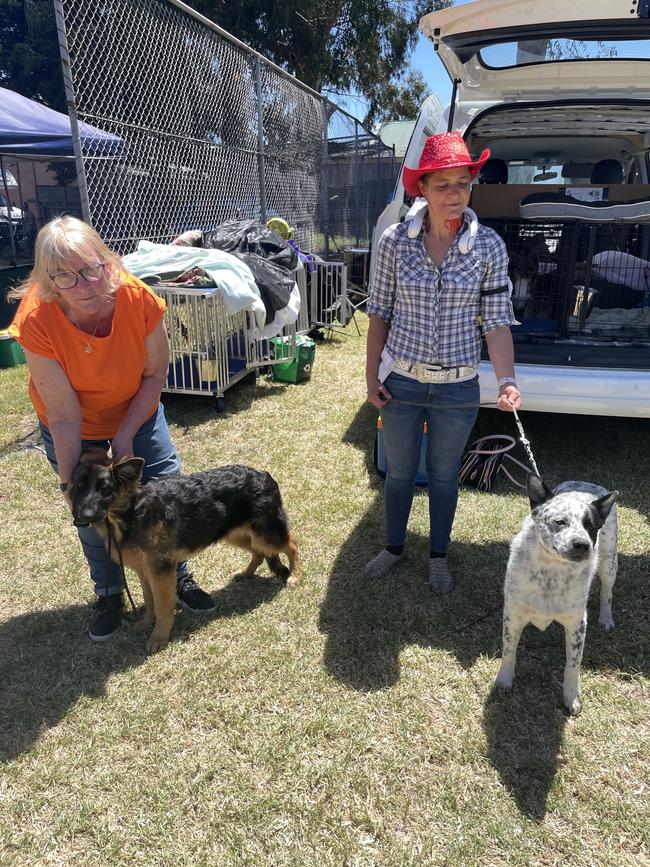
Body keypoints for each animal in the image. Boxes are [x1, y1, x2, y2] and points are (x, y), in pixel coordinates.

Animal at [69, 448, 302, 652]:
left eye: (105, 489)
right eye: (79, 487)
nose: (82, 517)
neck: (132, 512)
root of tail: (263, 474)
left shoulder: (161, 572)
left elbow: (162, 607)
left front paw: (159, 638)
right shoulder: (145, 572)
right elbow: (149, 600)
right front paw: (146, 623)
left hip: (266, 535)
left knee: (292, 543)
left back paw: (295, 576)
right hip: (236, 534)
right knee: (259, 552)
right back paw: (246, 573)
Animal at [494, 478, 616, 716]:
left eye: (591, 526)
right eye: (560, 522)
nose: (582, 545)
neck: (551, 573)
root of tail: (586, 483)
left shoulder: (578, 624)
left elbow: (573, 665)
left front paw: (571, 697)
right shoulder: (513, 616)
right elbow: (509, 651)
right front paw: (504, 681)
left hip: (609, 563)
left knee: (607, 593)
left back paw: (606, 618)